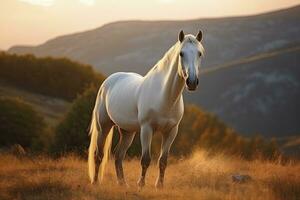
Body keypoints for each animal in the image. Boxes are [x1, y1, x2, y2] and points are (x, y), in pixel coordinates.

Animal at [87, 29, 204, 188]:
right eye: (181, 53)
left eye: (199, 53)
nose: (191, 82)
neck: (164, 96)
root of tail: (109, 81)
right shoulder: (147, 129)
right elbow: (146, 159)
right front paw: (141, 184)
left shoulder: (171, 131)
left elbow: (163, 161)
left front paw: (159, 186)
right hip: (103, 127)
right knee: (98, 155)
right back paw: (95, 182)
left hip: (127, 132)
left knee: (118, 155)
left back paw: (122, 183)